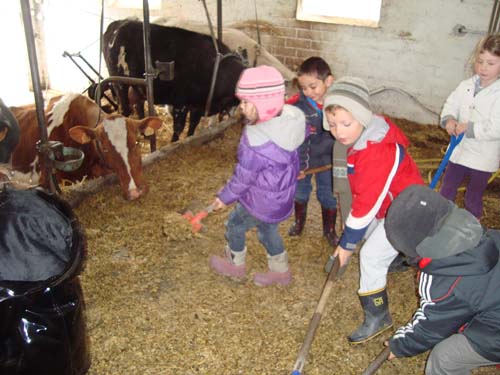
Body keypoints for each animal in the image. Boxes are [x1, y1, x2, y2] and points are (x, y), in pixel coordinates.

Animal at [102, 19, 246, 143]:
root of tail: (120, 23)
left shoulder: (197, 105)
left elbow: (193, 125)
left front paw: (190, 138)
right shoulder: (180, 103)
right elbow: (178, 127)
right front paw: (174, 143)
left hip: (137, 86)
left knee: (139, 105)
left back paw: (144, 134)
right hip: (120, 82)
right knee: (125, 109)